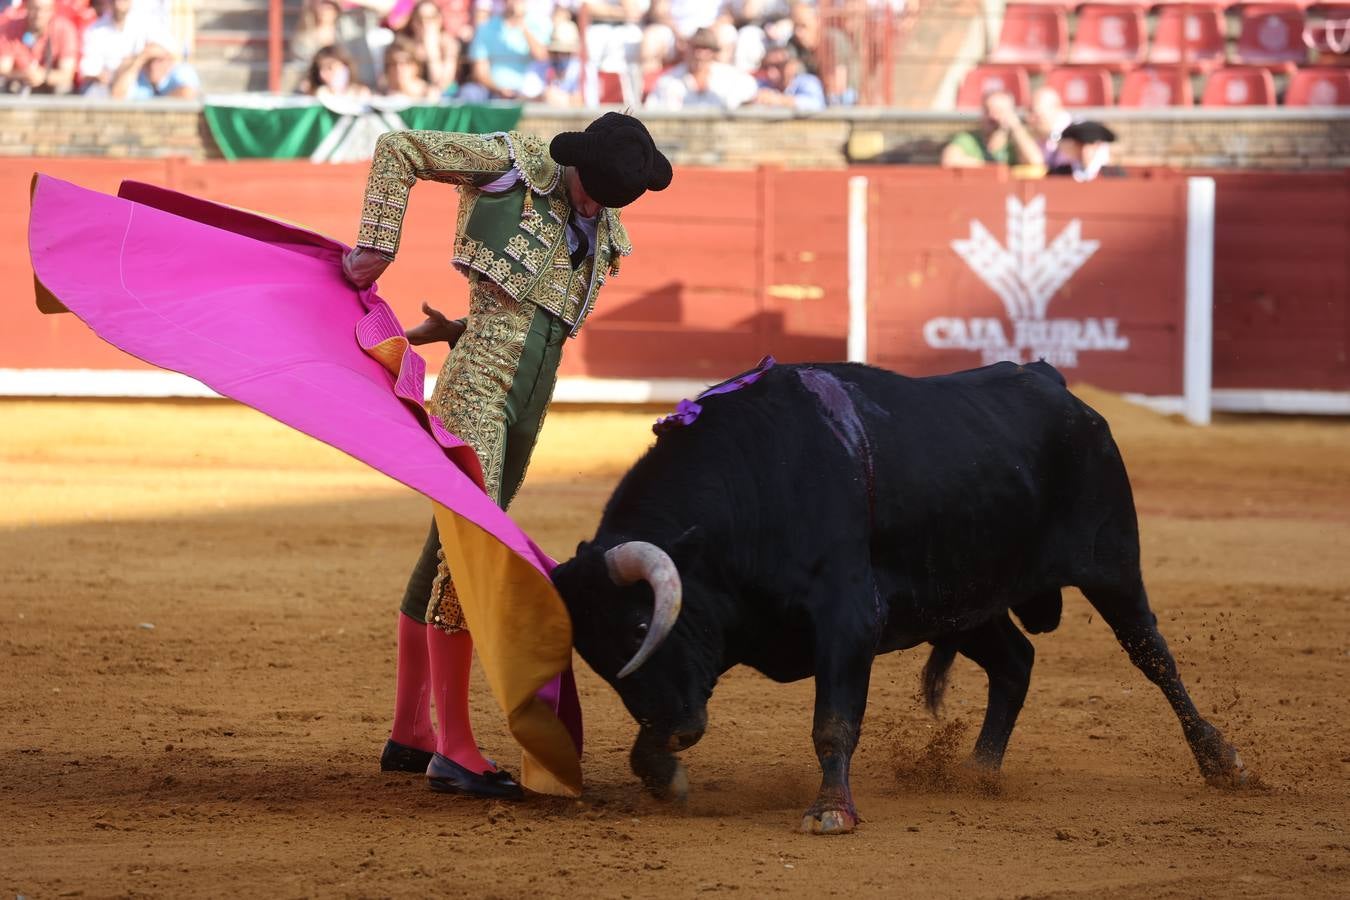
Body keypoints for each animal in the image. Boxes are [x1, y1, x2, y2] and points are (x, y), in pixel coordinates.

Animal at [548, 361, 1242, 836]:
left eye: (643, 624)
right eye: (597, 658)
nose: (679, 731)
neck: (753, 486)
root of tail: (1052, 381)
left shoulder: (848, 619)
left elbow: (833, 721)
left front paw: (831, 812)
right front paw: (664, 775)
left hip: (1113, 567)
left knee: (1154, 658)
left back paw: (1221, 761)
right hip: (963, 598)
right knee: (1016, 661)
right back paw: (977, 772)